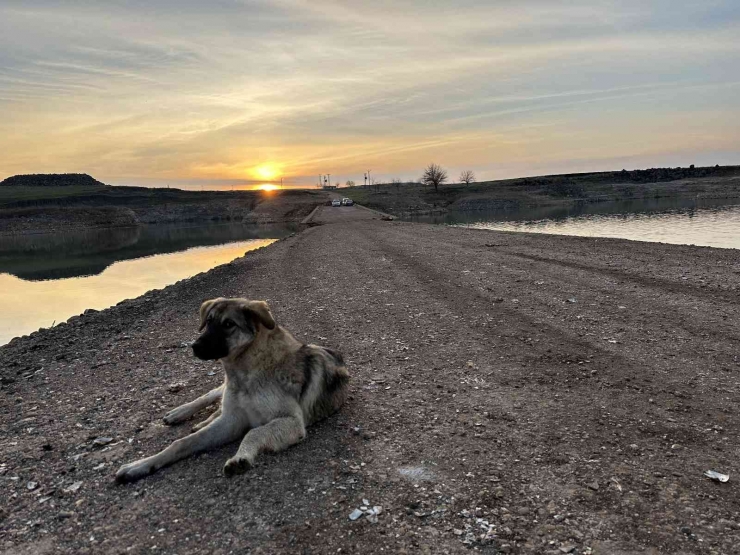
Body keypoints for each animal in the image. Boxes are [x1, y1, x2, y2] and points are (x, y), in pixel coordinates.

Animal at [113, 298, 350, 484]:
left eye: (228, 324)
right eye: (208, 321)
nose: (195, 346)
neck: (245, 373)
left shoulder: (290, 421)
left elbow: (253, 432)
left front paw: (240, 457)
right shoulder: (231, 419)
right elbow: (181, 443)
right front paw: (140, 465)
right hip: (222, 391)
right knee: (211, 395)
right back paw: (179, 413)